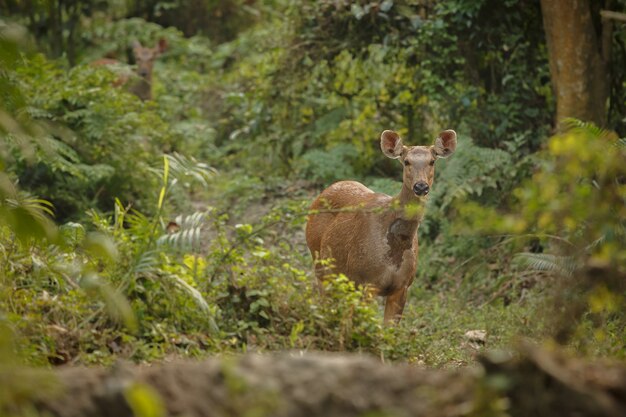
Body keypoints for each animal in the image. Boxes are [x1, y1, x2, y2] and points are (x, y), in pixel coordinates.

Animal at [304, 129, 456, 322]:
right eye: (406, 161)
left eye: (432, 161)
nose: (421, 187)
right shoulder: (367, 281)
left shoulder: (402, 286)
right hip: (320, 264)